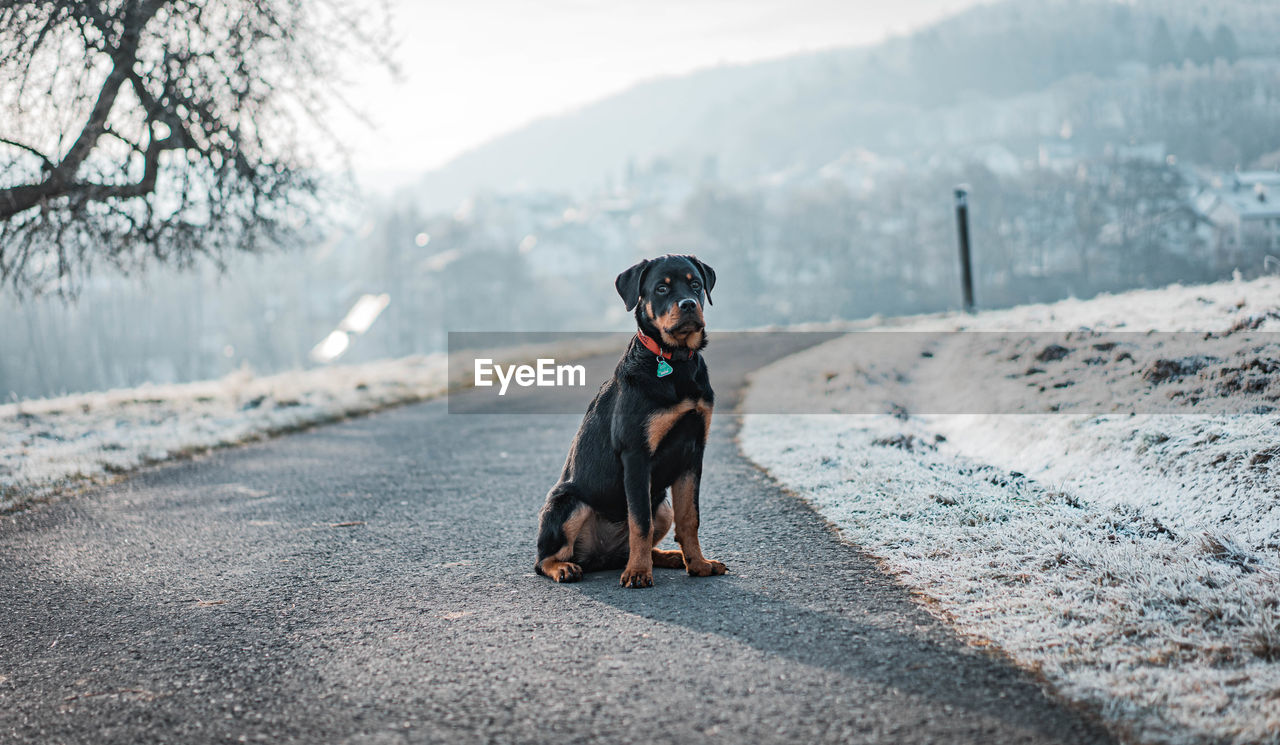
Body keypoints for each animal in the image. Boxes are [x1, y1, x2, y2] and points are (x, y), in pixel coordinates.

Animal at [532, 256, 732, 588]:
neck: (674, 361)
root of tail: (600, 557)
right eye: (662, 288)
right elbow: (640, 522)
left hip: (661, 506)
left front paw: (698, 564)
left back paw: (667, 558)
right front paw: (638, 573)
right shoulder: (636, 454)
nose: (689, 304)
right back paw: (565, 568)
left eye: (695, 285)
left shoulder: (693, 452)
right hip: (569, 503)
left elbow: (689, 518)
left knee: (645, 539)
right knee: (544, 559)